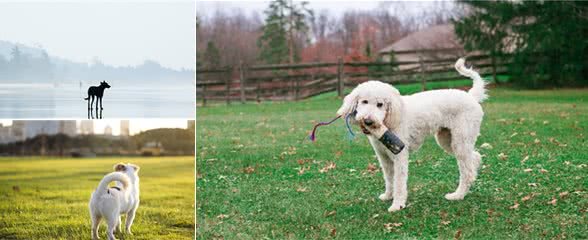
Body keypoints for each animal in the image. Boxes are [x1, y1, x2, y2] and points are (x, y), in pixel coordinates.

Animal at [338, 58, 484, 212]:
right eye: (364, 101)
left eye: (380, 104)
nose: (368, 121)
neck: (390, 119)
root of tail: (471, 96)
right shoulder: (384, 157)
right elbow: (389, 178)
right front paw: (388, 196)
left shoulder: (399, 155)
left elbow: (399, 182)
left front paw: (397, 205)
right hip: (448, 141)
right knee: (474, 158)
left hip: (460, 141)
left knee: (467, 171)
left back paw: (458, 195)